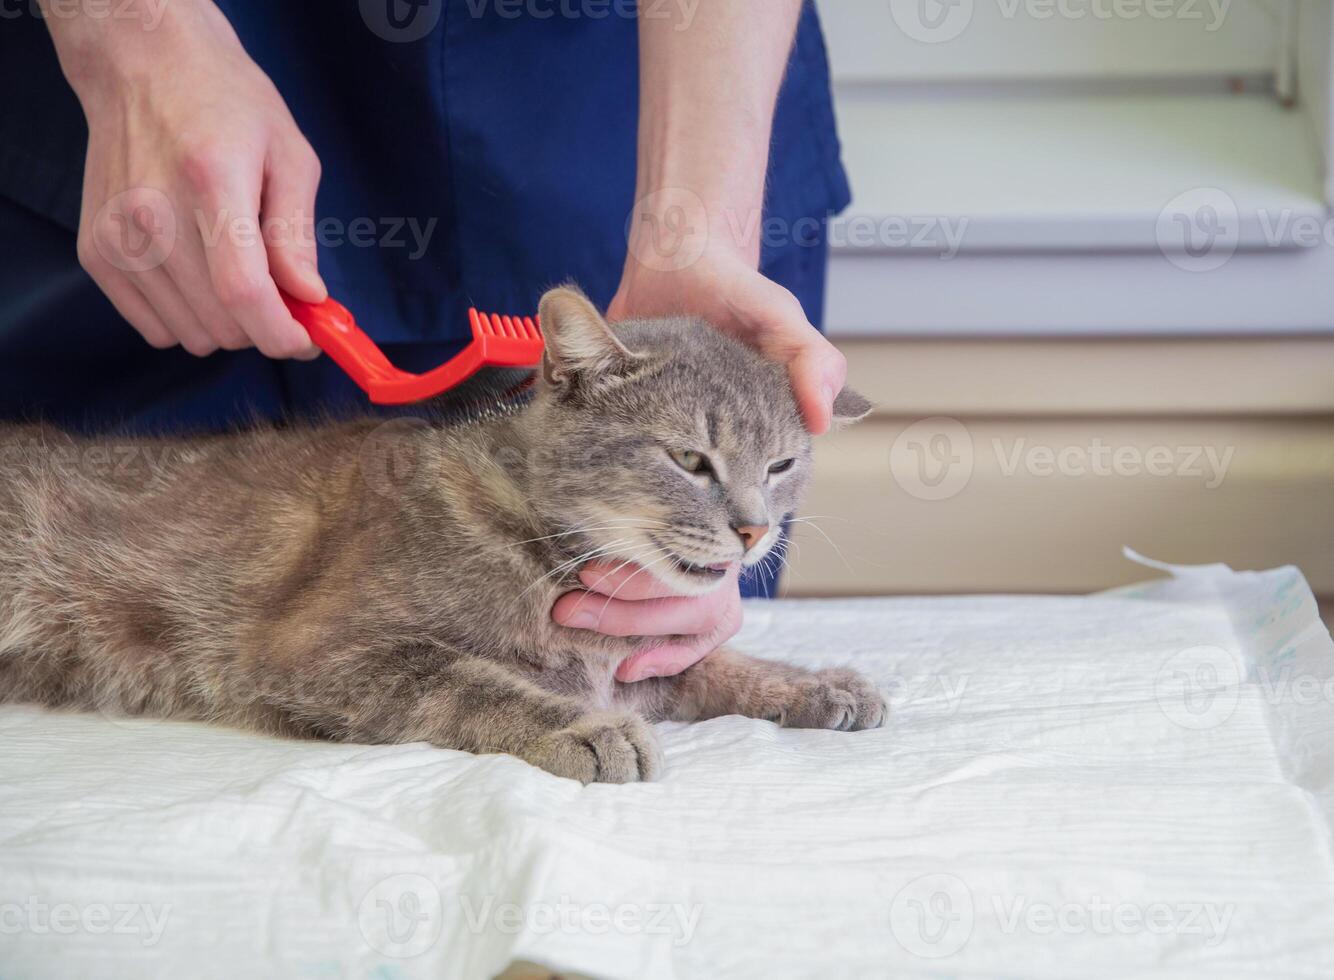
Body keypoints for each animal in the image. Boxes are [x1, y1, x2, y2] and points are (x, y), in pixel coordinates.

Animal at [0, 284, 885, 784]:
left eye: (780, 465)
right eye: (690, 459)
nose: (754, 530)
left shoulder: (644, 662)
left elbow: (715, 664)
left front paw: (813, 683)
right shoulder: (321, 652)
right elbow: (471, 681)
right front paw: (582, 727)